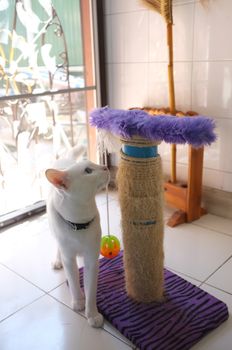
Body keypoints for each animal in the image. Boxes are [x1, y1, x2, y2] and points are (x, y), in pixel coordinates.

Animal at [46, 151, 109, 328]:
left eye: (94, 165)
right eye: (88, 171)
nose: (105, 166)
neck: (80, 223)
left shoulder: (92, 259)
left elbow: (91, 289)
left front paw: (92, 314)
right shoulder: (69, 257)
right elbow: (73, 280)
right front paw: (78, 301)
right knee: (58, 246)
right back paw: (57, 260)